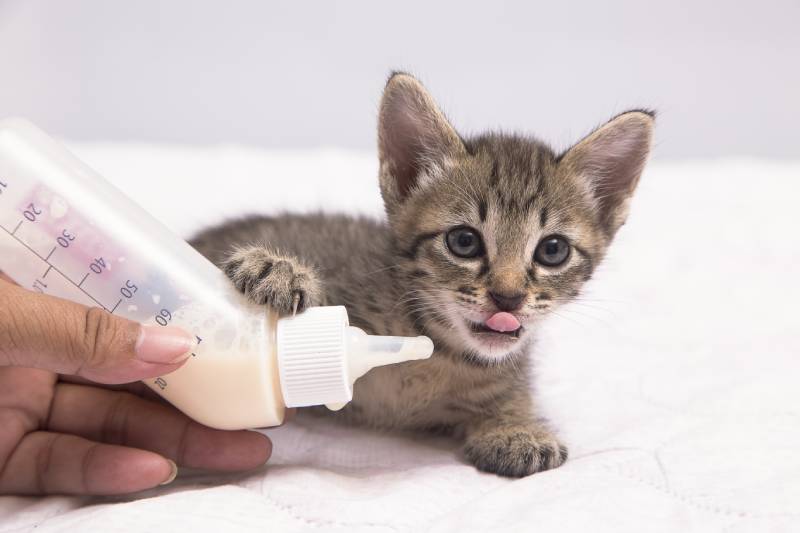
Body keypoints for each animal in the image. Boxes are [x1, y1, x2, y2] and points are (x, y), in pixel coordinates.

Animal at [191, 72, 652, 476]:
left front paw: (518, 429)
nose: (508, 298)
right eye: (463, 241)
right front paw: (278, 270)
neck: (441, 349)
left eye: (552, 250)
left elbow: (511, 398)